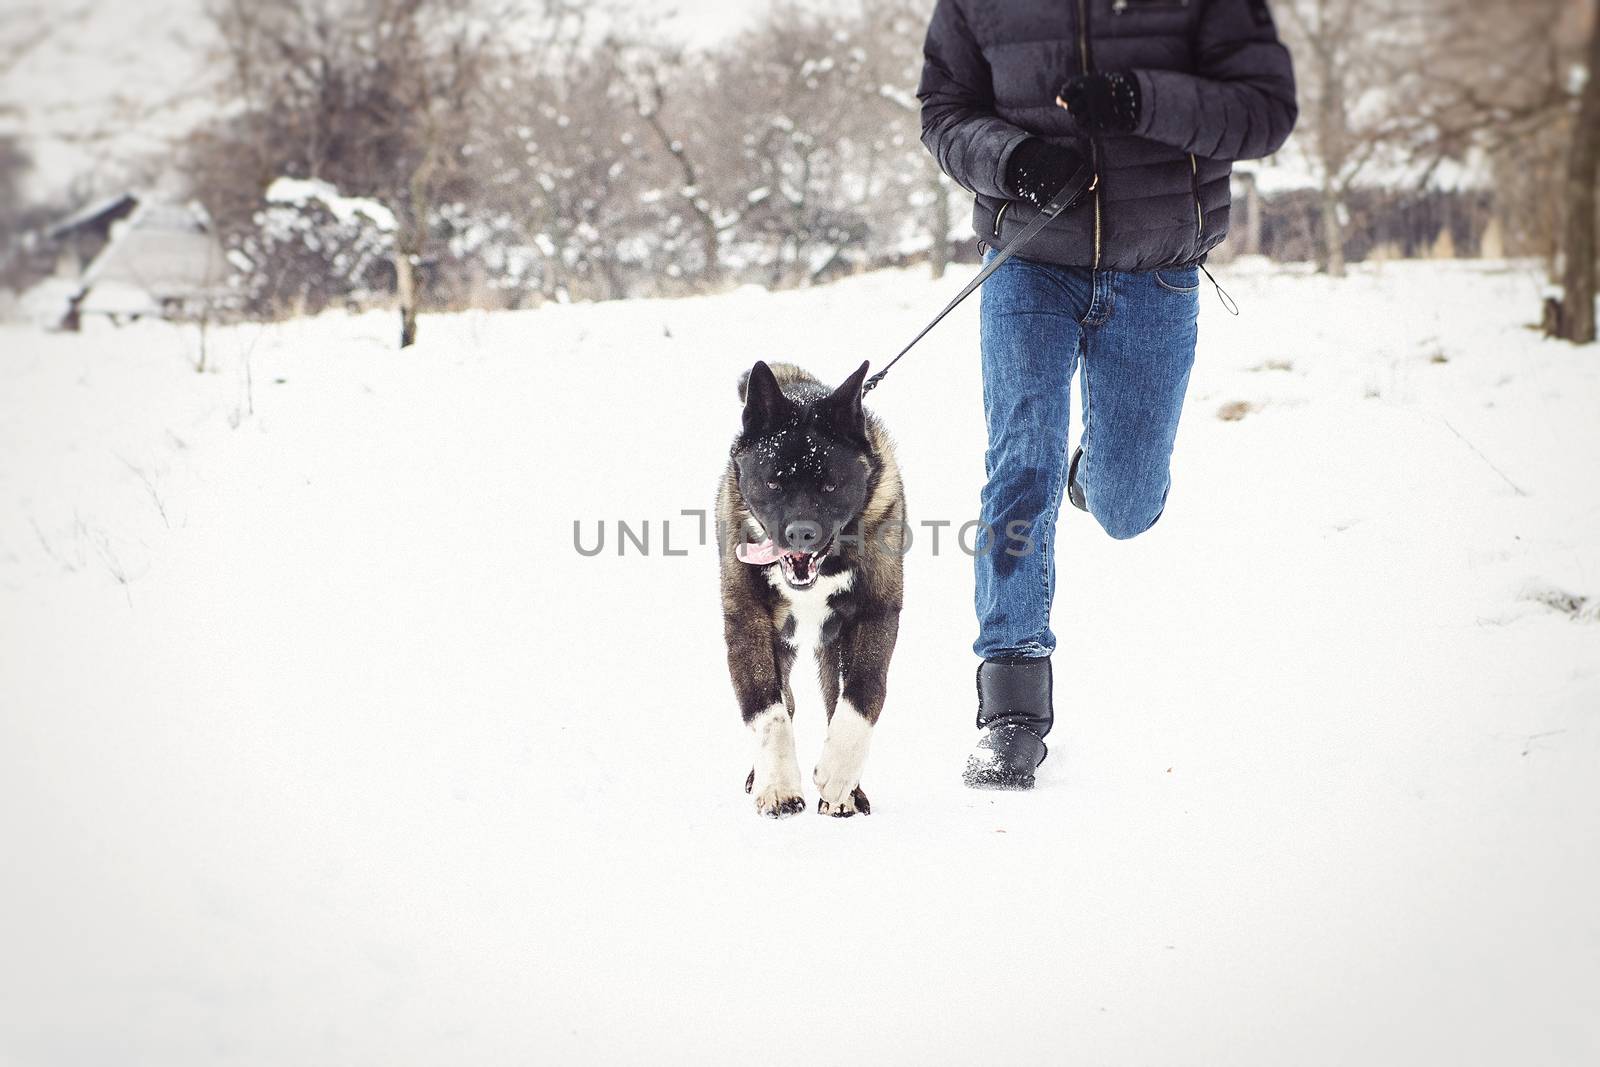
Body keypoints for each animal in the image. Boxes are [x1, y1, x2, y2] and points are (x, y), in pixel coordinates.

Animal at [720, 363, 908, 825]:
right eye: (773, 483)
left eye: (829, 487)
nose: (801, 533)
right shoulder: (747, 622)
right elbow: (768, 710)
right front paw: (778, 786)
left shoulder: (874, 615)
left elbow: (861, 693)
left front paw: (840, 779)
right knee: (784, 700)